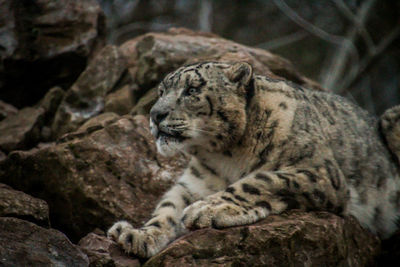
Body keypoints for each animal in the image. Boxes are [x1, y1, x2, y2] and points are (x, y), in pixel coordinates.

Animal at [107, 61, 400, 260]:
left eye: (191, 89)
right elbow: (168, 207)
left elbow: (259, 180)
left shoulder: (319, 172)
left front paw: (208, 208)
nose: (155, 115)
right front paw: (137, 235)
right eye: (160, 91)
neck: (226, 156)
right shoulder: (194, 183)